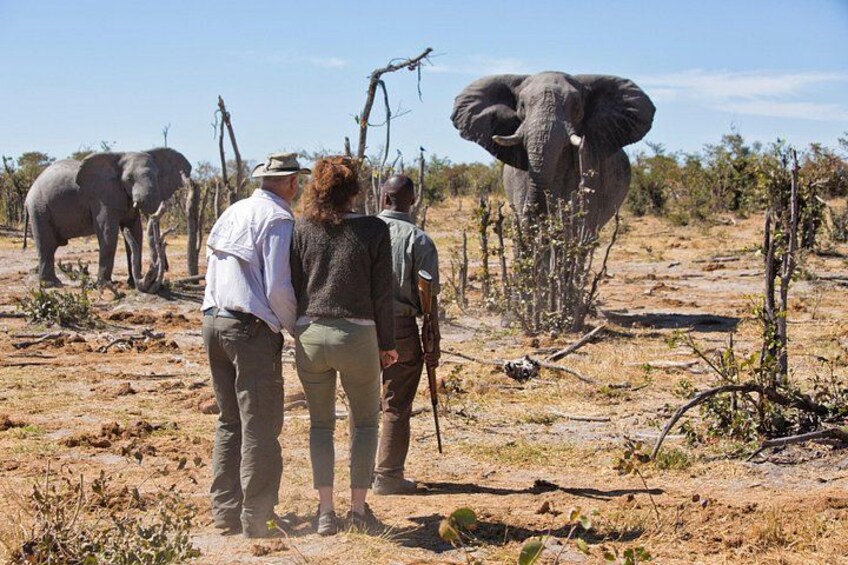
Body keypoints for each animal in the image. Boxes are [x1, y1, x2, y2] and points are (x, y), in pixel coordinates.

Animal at [24, 148, 191, 285]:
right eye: (129, 179)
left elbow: (135, 232)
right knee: (46, 244)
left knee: (52, 245)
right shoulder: (102, 197)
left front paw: (132, 283)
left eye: (157, 176)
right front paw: (104, 284)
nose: (165, 268)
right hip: (39, 208)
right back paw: (51, 284)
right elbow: (107, 233)